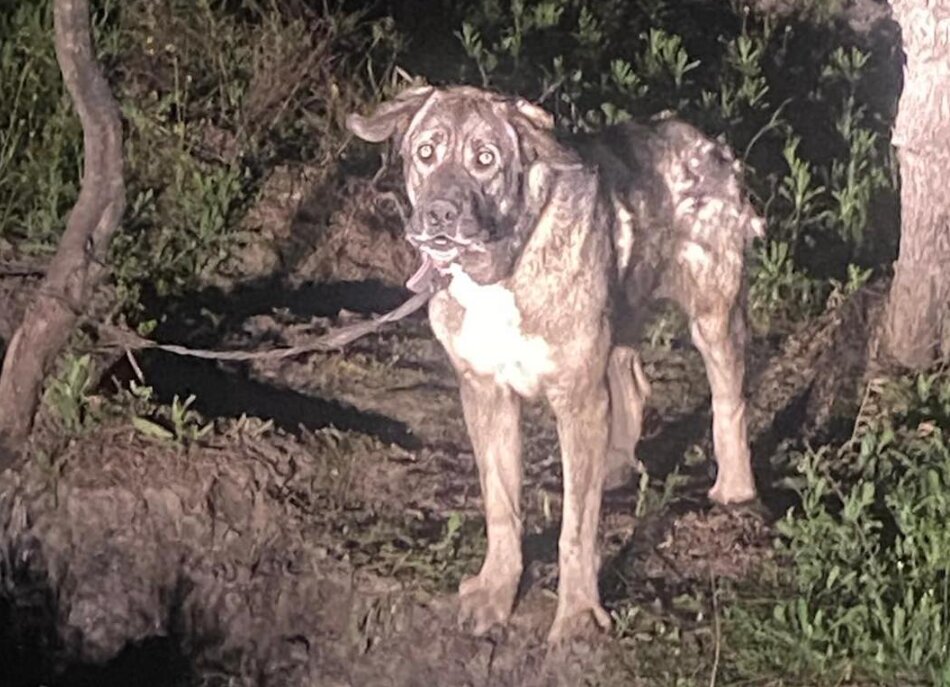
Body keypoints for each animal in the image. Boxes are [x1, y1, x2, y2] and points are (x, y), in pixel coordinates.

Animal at [347, 85, 762, 642]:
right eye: (426, 153)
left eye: (486, 159)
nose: (439, 215)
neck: (500, 268)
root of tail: (706, 141)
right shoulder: (486, 393)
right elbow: (501, 506)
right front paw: (496, 592)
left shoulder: (576, 397)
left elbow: (576, 530)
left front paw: (579, 614)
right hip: (617, 314)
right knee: (631, 384)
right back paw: (615, 464)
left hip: (713, 312)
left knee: (728, 398)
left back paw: (735, 489)